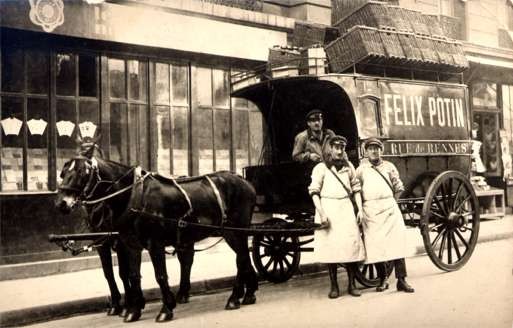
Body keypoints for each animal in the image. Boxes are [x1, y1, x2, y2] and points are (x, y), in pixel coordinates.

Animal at [54, 144, 258, 322]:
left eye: (82, 172)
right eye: (63, 173)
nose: (61, 203)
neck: (133, 196)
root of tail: (245, 181)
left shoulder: (154, 243)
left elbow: (159, 275)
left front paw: (165, 309)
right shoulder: (128, 244)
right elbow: (130, 275)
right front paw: (133, 310)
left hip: (233, 232)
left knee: (240, 259)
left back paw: (234, 298)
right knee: (239, 258)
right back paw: (247, 294)